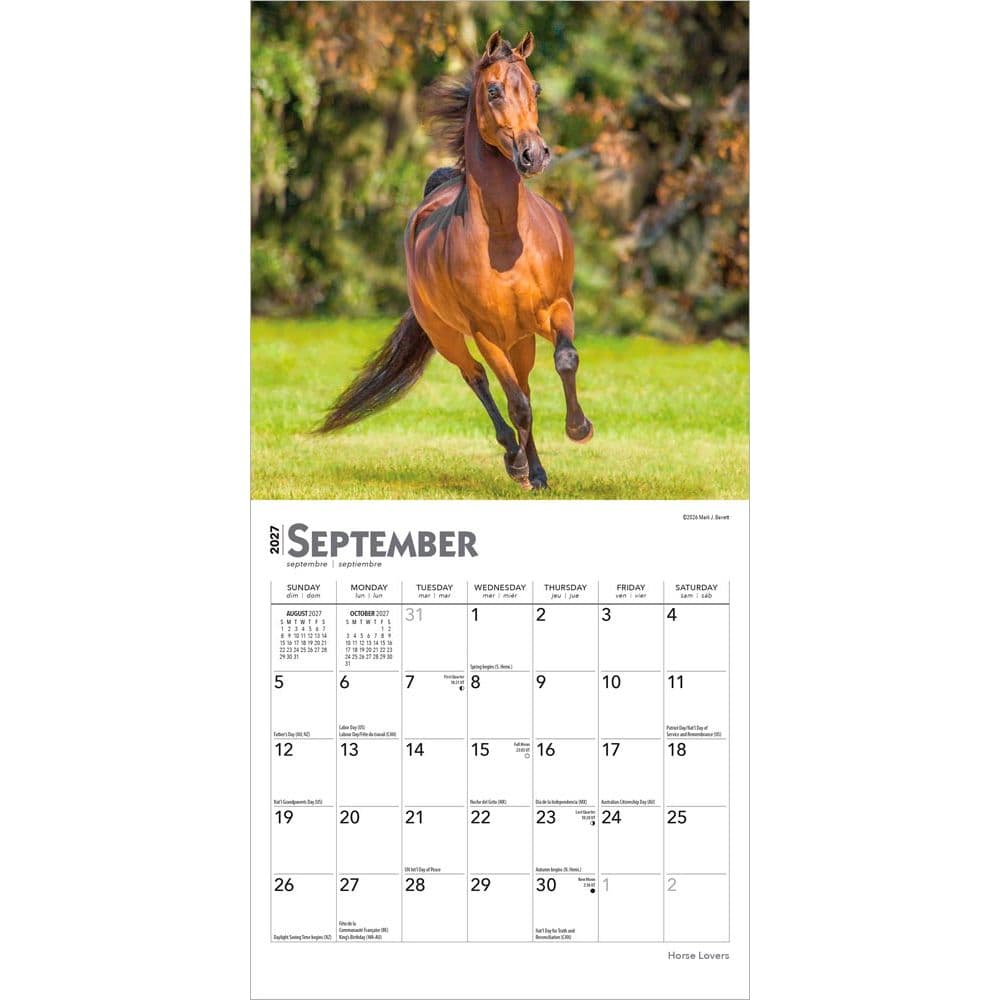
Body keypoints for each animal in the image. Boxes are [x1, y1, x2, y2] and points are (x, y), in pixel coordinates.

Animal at [319, 29, 593, 491]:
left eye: (535, 88)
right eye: (494, 90)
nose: (534, 155)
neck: (506, 240)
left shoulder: (556, 308)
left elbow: (564, 361)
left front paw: (578, 429)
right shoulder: (485, 332)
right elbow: (515, 404)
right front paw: (522, 465)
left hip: (519, 339)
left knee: (522, 386)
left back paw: (534, 468)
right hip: (447, 335)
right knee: (479, 379)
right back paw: (516, 462)